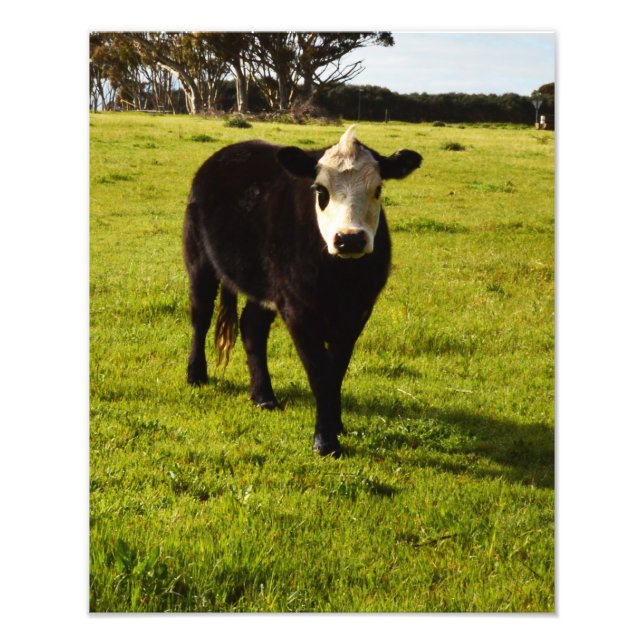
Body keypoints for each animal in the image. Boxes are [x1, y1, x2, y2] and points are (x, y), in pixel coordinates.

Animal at [183, 125, 422, 457]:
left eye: (378, 189)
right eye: (321, 191)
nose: (350, 239)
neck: (341, 281)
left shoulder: (358, 312)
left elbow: (336, 371)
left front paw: (335, 424)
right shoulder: (297, 310)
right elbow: (319, 372)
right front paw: (325, 441)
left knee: (251, 328)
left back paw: (263, 396)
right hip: (200, 263)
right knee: (201, 317)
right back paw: (196, 375)